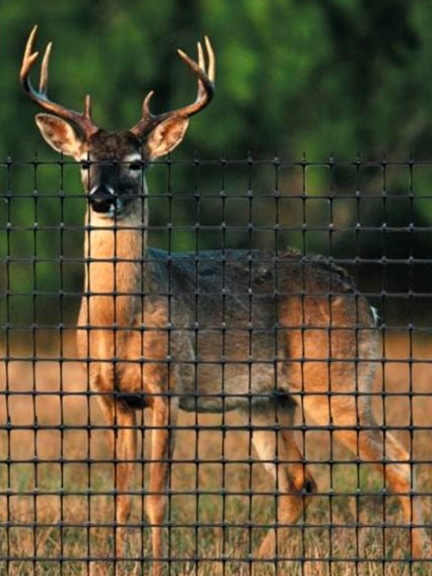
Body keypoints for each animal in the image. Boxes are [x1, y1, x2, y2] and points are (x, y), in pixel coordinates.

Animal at [22, 25, 426, 572]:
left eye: (136, 164)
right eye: (85, 161)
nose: (101, 198)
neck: (119, 318)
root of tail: (365, 301)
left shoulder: (167, 385)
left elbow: (156, 495)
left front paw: (157, 564)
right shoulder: (109, 394)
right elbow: (122, 496)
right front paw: (114, 561)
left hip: (338, 384)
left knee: (401, 463)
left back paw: (417, 555)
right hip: (267, 400)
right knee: (300, 482)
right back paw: (258, 561)